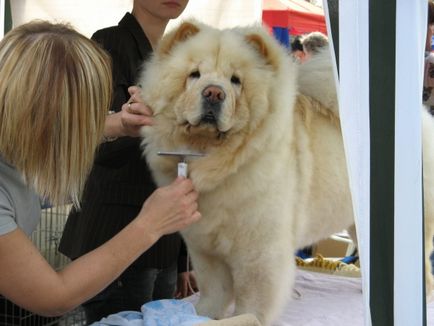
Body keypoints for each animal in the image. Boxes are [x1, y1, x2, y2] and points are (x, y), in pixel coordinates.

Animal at [139, 21, 434, 326]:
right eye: (194, 75)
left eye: (235, 80)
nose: (213, 93)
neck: (216, 160)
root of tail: (423, 117)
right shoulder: (205, 248)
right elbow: (213, 292)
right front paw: (201, 316)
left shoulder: (259, 253)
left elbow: (252, 302)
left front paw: (247, 318)